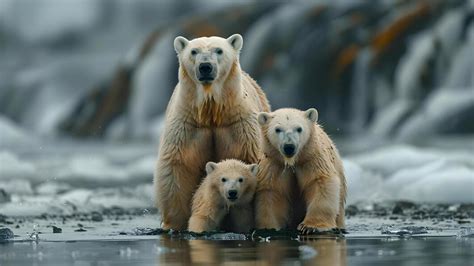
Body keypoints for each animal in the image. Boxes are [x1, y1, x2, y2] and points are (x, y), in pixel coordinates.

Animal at [155, 34, 268, 230]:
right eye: (194, 51)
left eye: (219, 50)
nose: (205, 67)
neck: (211, 112)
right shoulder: (187, 126)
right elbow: (178, 167)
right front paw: (174, 224)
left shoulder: (241, 127)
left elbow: (248, 160)